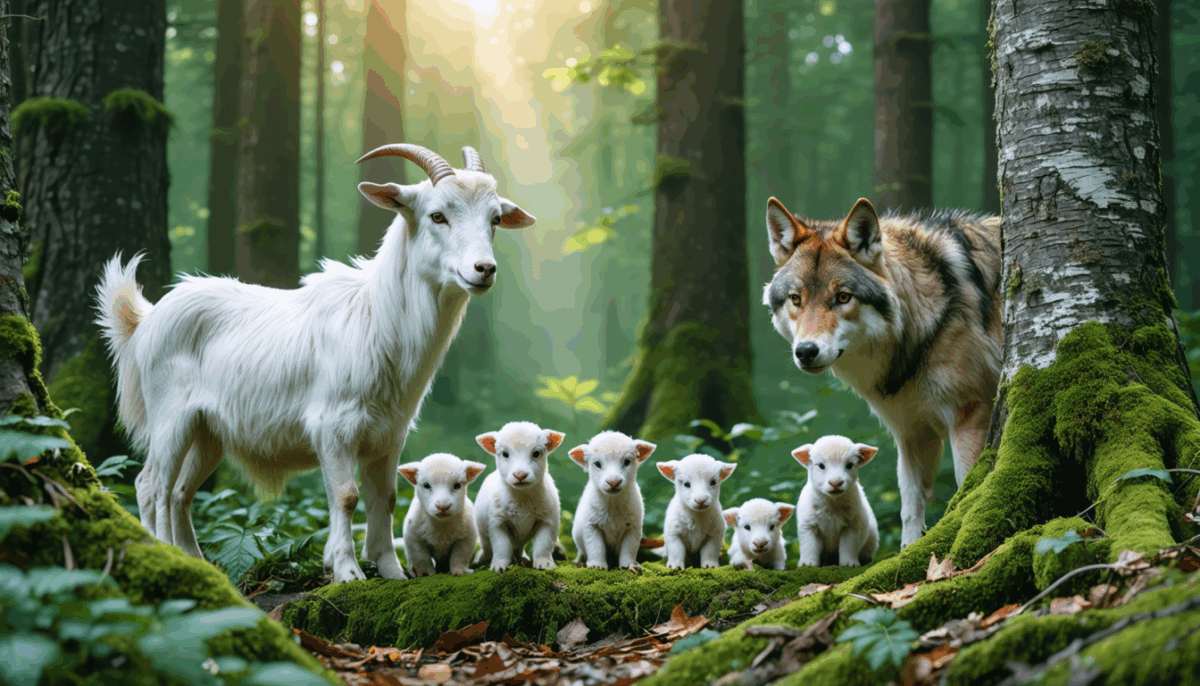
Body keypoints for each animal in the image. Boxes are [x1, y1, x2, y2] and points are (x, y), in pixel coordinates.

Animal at [95, 144, 535, 583]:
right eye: (438, 215)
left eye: (495, 219)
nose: (484, 269)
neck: (375, 319)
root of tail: (145, 320)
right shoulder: (332, 428)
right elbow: (346, 496)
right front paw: (347, 570)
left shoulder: (389, 434)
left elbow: (386, 498)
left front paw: (391, 570)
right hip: (170, 418)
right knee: (151, 486)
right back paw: (162, 553)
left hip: (207, 433)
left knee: (180, 493)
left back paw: (194, 561)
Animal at [762, 196, 1001, 547]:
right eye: (796, 299)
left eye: (842, 297)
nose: (806, 351)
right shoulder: (911, 432)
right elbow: (910, 510)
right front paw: (911, 552)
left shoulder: (968, 417)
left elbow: (965, 487)